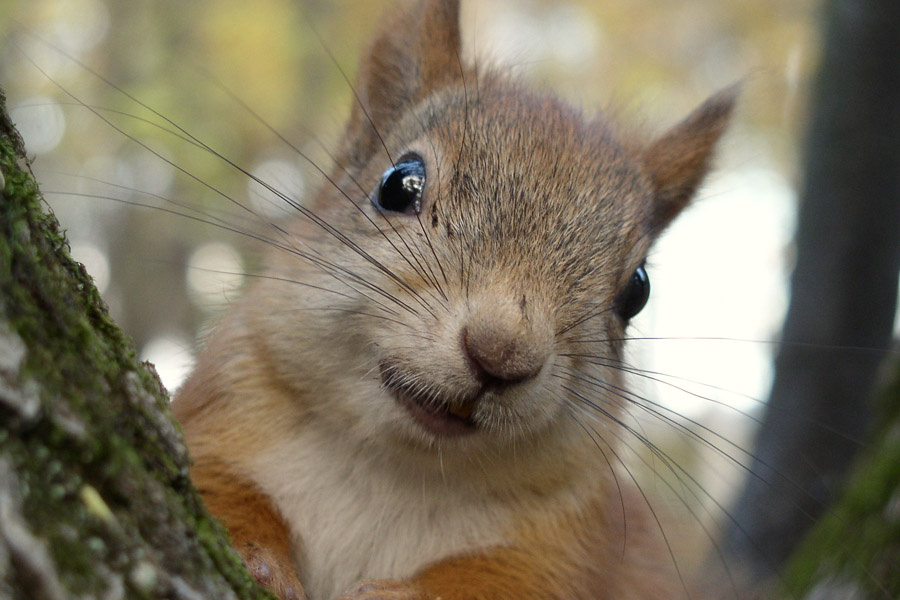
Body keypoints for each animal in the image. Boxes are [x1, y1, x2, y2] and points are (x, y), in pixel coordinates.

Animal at [172, 0, 736, 598]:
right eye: (398, 184)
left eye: (637, 291)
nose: (501, 353)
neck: (396, 468)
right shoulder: (223, 416)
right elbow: (228, 492)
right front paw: (260, 558)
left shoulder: (563, 555)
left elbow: (487, 583)